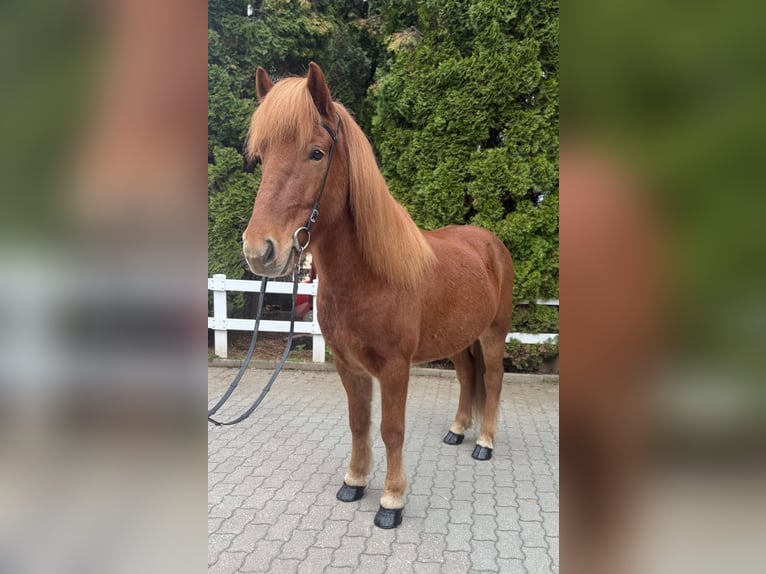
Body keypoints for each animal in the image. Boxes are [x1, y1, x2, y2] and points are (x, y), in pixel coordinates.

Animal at [242, 62, 514, 529]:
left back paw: (484, 443)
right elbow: (358, 423)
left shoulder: (394, 367)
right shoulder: (348, 364)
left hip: (493, 334)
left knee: (493, 380)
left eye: (316, 153)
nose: (260, 251)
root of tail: (490, 243)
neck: (370, 275)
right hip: (459, 341)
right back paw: (457, 431)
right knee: (467, 377)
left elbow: (391, 429)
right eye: (262, 158)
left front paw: (392, 500)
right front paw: (354, 482)